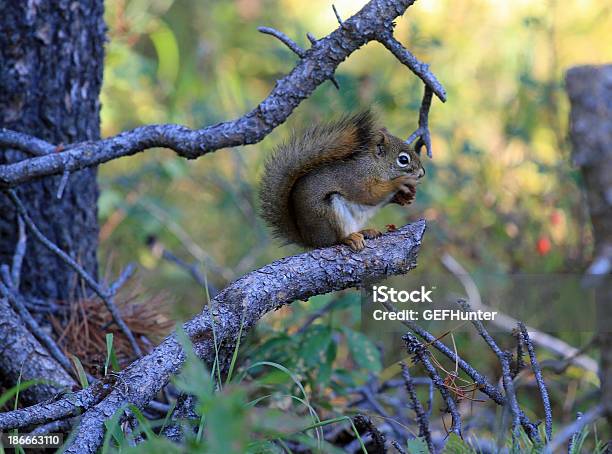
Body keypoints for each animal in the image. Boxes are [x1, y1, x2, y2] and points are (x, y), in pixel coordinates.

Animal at [258, 110, 426, 252]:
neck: (375, 166)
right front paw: (400, 182)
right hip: (329, 213)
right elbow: (369, 195)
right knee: (334, 240)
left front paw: (404, 197)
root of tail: (310, 240)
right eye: (403, 160)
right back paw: (349, 238)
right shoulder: (355, 178)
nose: (422, 173)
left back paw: (366, 231)